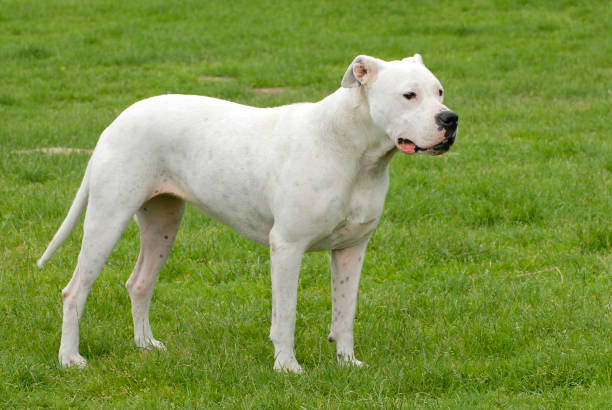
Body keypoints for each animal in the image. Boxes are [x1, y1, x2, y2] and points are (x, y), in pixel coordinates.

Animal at [38, 53, 456, 372]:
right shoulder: (287, 247)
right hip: (108, 219)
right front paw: (287, 367)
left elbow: (345, 313)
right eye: (408, 95)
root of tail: (117, 121)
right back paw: (70, 359)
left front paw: (347, 363)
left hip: (163, 223)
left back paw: (146, 345)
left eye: (439, 91)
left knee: (139, 283)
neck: (351, 148)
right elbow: (286, 314)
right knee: (75, 290)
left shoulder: (352, 250)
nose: (450, 119)